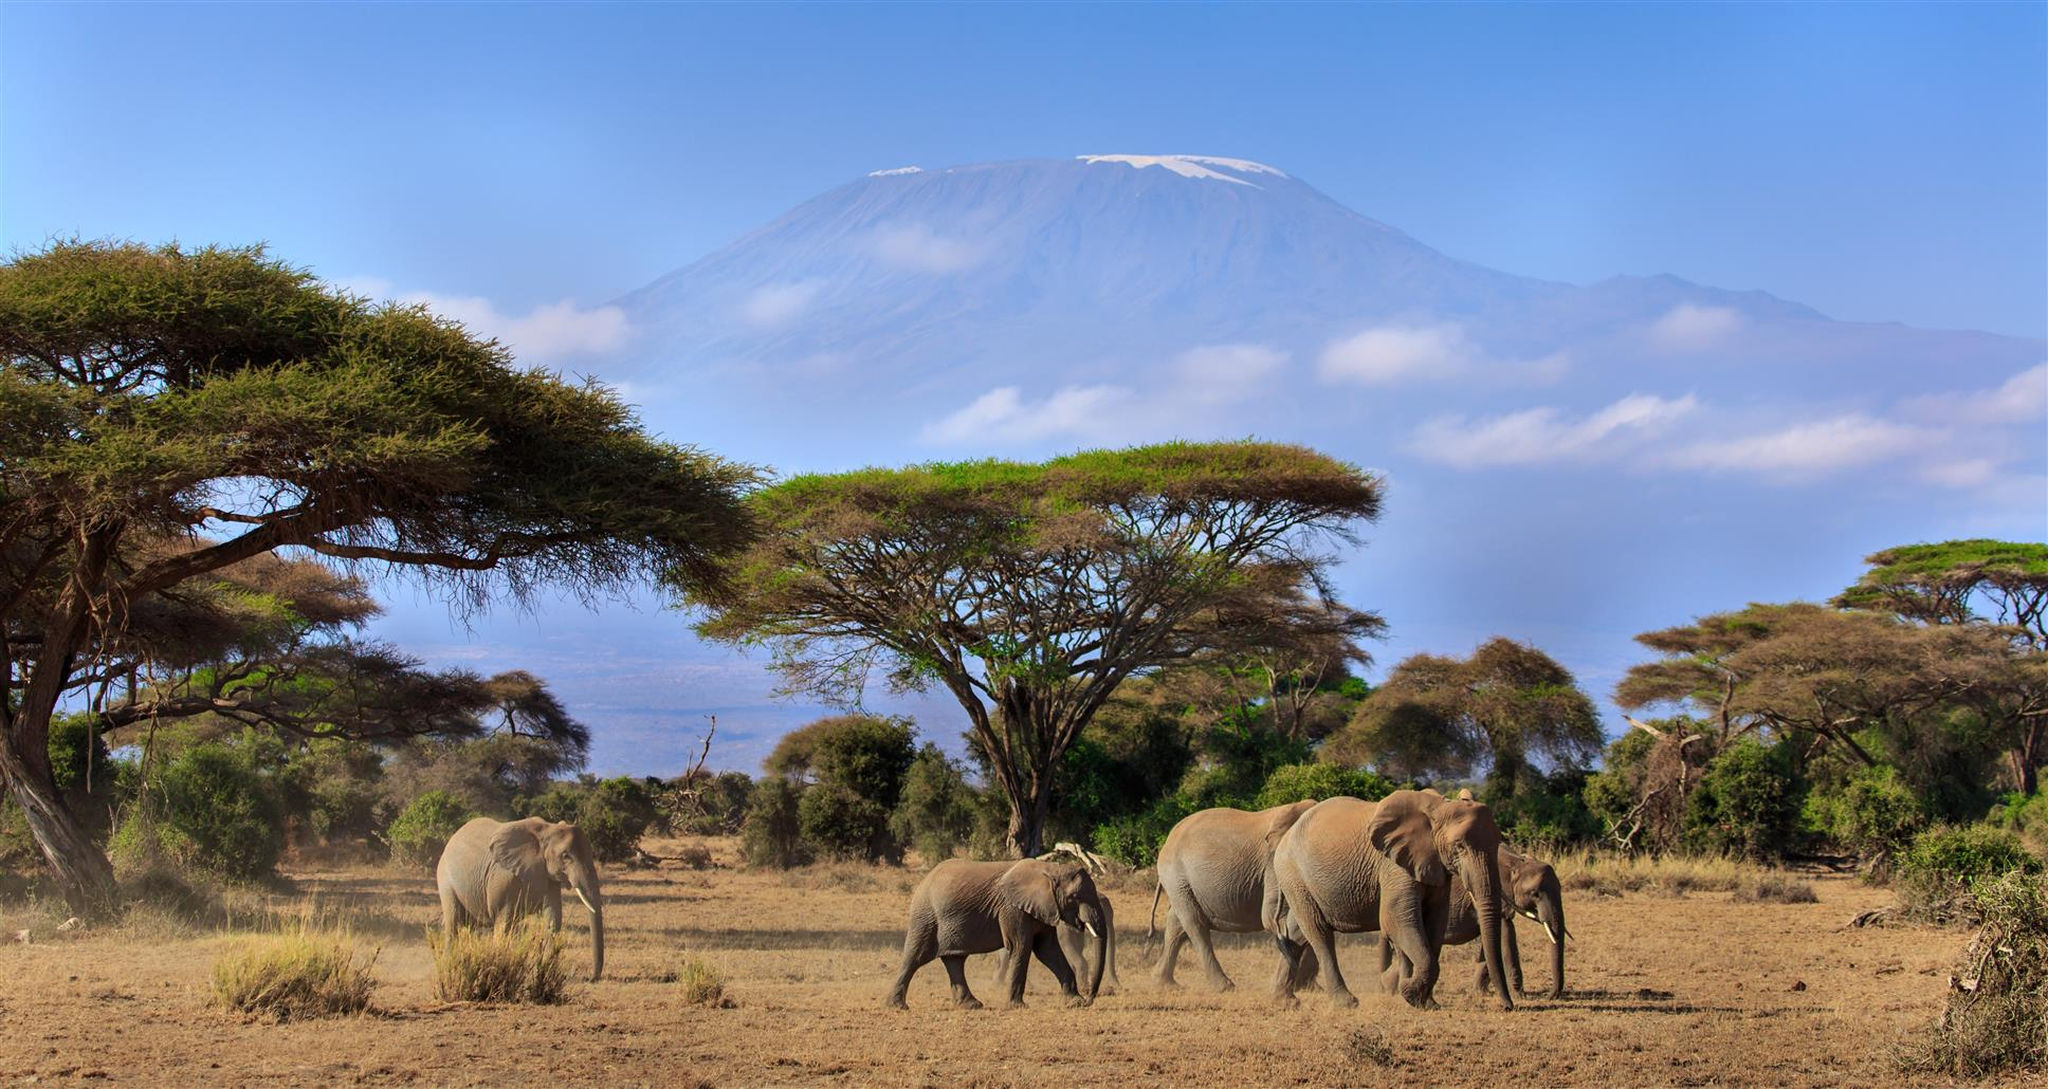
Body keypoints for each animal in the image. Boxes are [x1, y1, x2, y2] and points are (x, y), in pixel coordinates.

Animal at [436, 818, 602, 986]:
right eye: (565, 855)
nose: (589, 978)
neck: (546, 830)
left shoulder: (548, 877)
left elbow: (553, 919)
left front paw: (542, 971)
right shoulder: (504, 878)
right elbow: (504, 923)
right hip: (445, 878)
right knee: (453, 921)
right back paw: (449, 967)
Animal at [880, 859, 1105, 1011]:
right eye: (1074, 897)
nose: (1090, 999)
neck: (1050, 869)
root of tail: (923, 880)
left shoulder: (1044, 908)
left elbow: (1047, 951)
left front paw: (1075, 1002)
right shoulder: (1012, 908)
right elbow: (1020, 947)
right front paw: (1017, 1006)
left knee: (955, 960)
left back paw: (971, 1005)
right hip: (926, 916)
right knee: (916, 957)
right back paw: (897, 1006)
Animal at [1146, 794, 1318, 990]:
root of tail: (1168, 839)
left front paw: (1308, 987)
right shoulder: (1274, 864)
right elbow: (1277, 917)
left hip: (1182, 883)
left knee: (1176, 924)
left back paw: (1163, 982)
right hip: (1176, 876)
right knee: (1194, 923)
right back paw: (1224, 986)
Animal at [1269, 790, 1515, 1011]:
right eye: (1459, 846)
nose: (1507, 1006)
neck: (1439, 807)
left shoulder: (1434, 865)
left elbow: (1436, 921)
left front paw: (1428, 1003)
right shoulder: (1394, 866)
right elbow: (1397, 919)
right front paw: (1409, 993)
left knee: (1296, 933)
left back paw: (1285, 1001)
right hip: (1294, 874)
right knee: (1319, 933)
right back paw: (1346, 1003)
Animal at [1384, 847, 1572, 998]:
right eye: (1535, 894)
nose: (1550, 995)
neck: (1516, 862)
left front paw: (1481, 992)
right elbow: (1506, 937)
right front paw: (1521, 996)